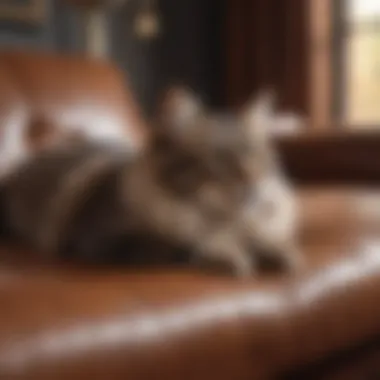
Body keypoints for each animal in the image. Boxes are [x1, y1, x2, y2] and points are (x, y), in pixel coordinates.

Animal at [0, 86, 302, 276]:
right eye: (219, 161)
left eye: (258, 159)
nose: (253, 182)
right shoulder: (106, 239)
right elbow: (198, 243)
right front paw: (233, 256)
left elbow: (263, 239)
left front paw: (281, 254)